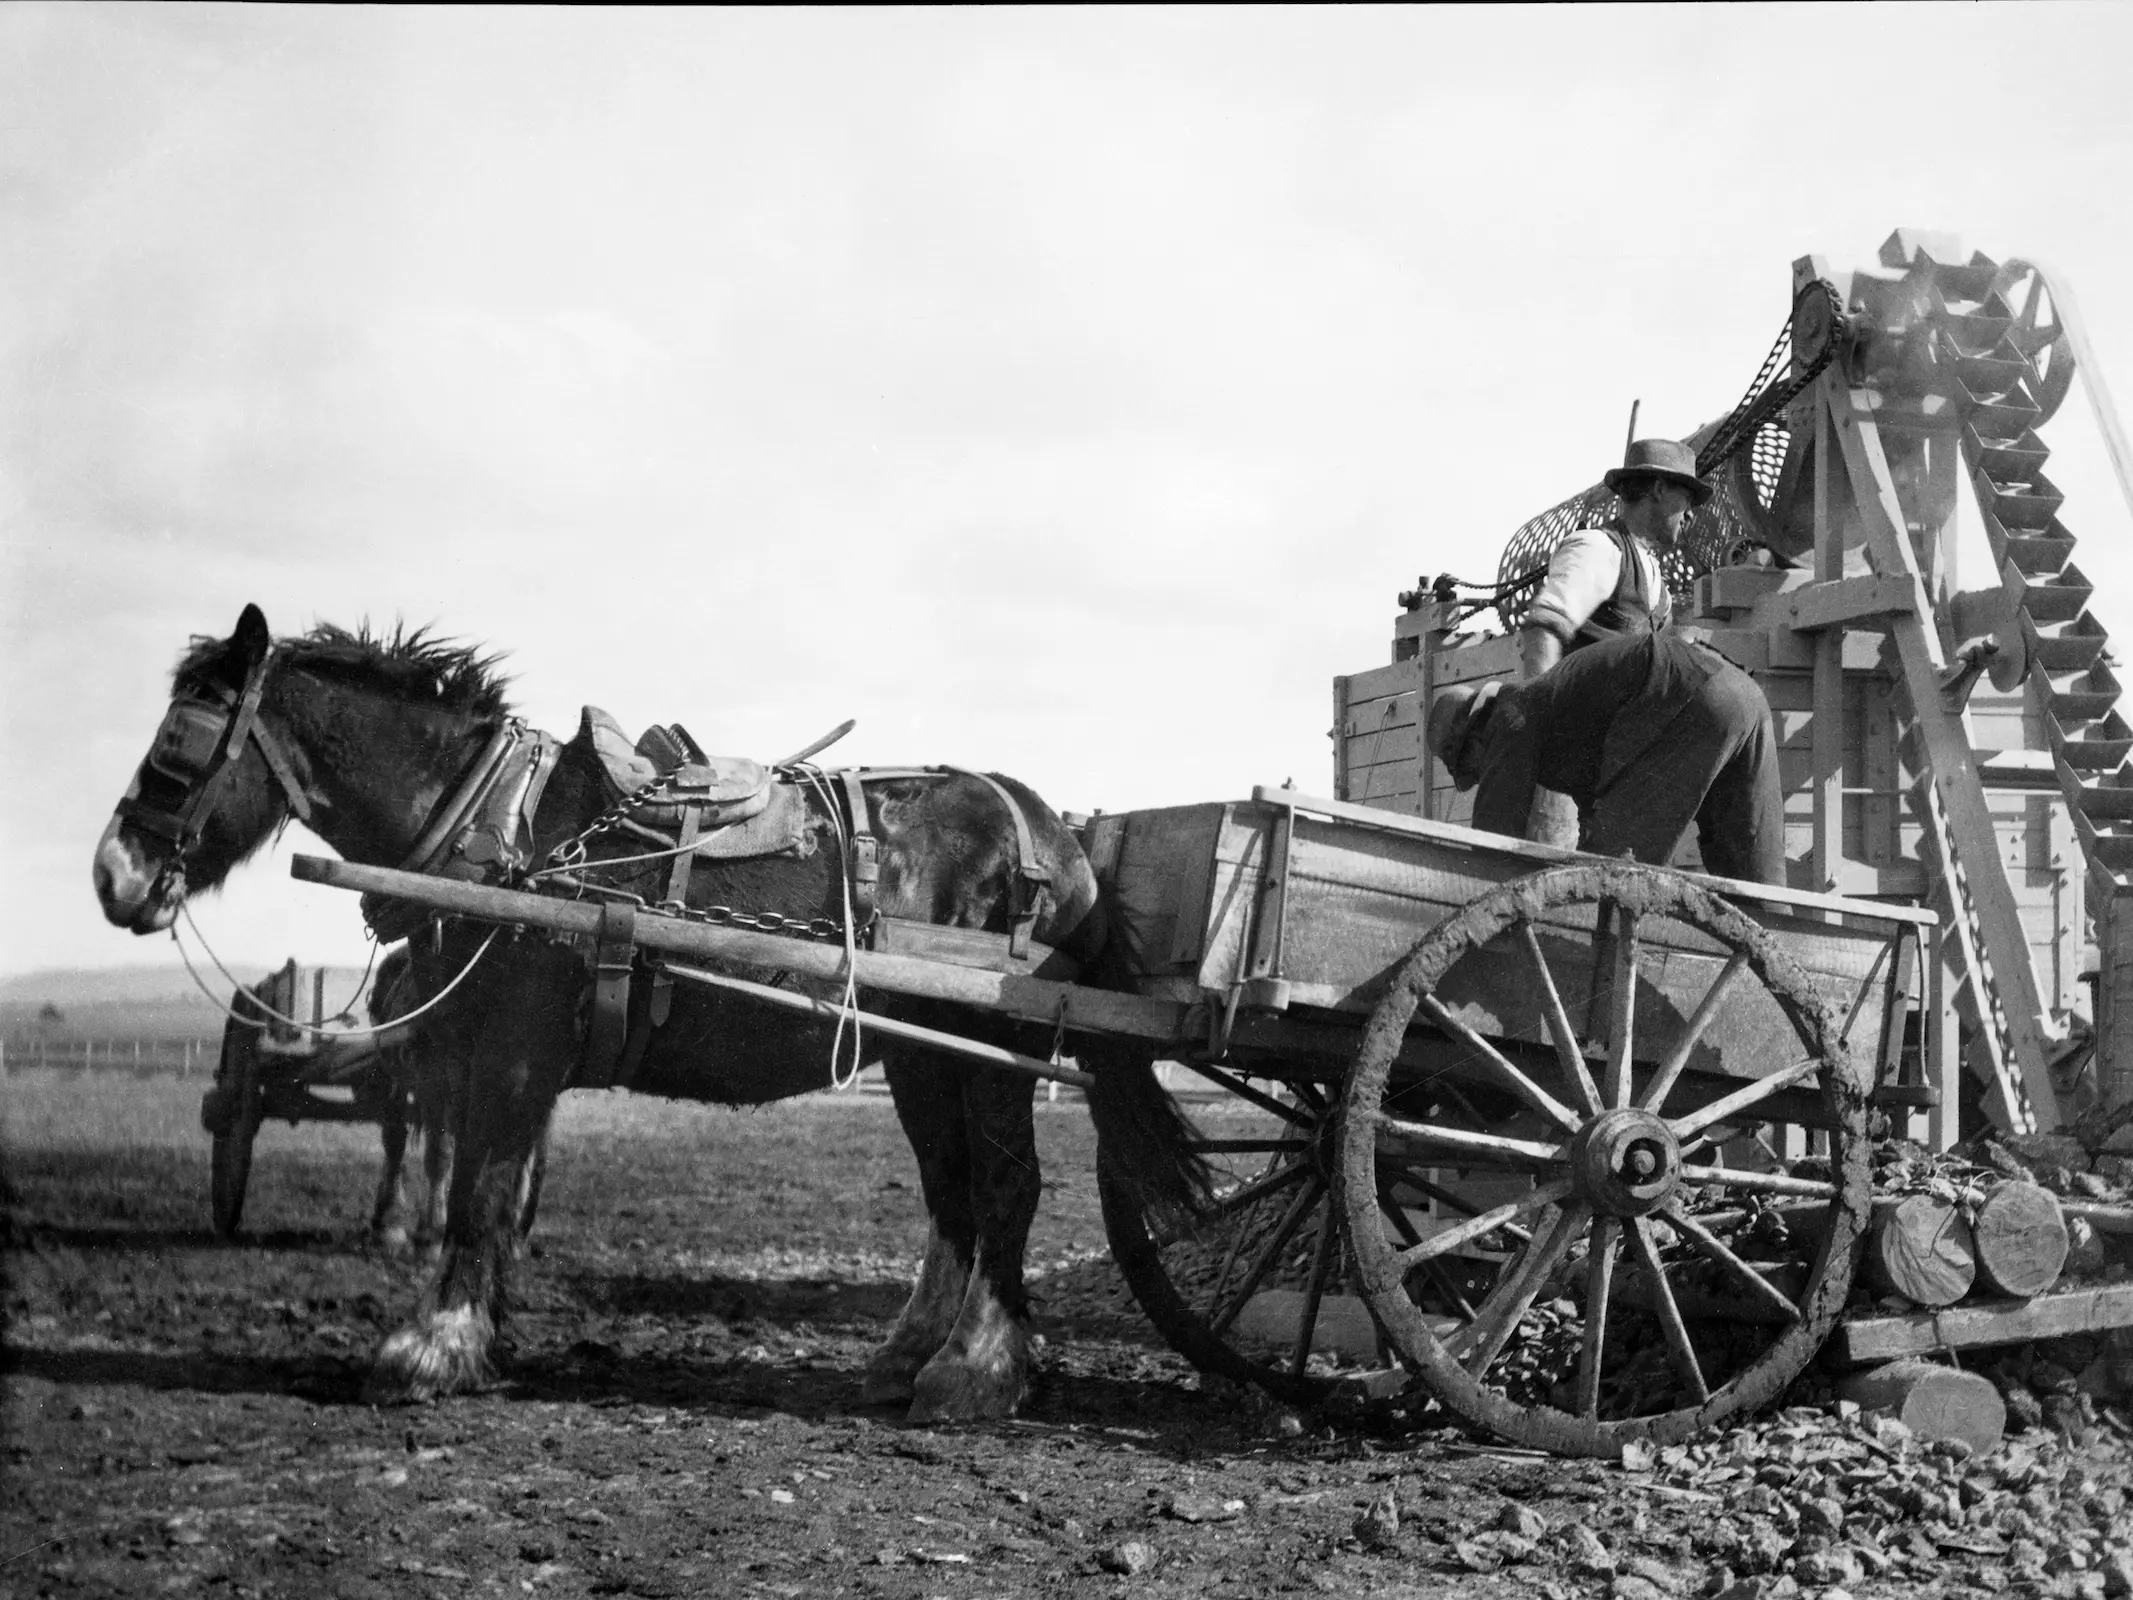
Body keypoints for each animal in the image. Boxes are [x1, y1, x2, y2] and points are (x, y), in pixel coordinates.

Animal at [95, 605, 1203, 1425]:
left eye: (182, 743)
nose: (116, 874)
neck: (496, 834)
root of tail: (1053, 832)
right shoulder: (462, 1063)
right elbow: (479, 1187)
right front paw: (474, 1334)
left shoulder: (509, 1057)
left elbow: (480, 1194)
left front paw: (433, 1346)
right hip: (919, 1053)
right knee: (954, 1194)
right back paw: (911, 1353)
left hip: (994, 1050)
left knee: (1005, 1189)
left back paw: (976, 1371)